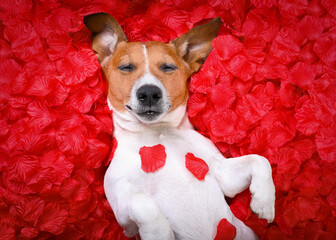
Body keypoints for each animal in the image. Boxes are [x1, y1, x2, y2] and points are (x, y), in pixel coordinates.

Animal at [84, 13, 276, 240]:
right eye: (126, 67)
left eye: (168, 67)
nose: (149, 92)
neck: (158, 133)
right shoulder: (122, 210)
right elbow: (144, 205)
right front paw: (159, 232)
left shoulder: (223, 175)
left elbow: (260, 160)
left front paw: (264, 201)